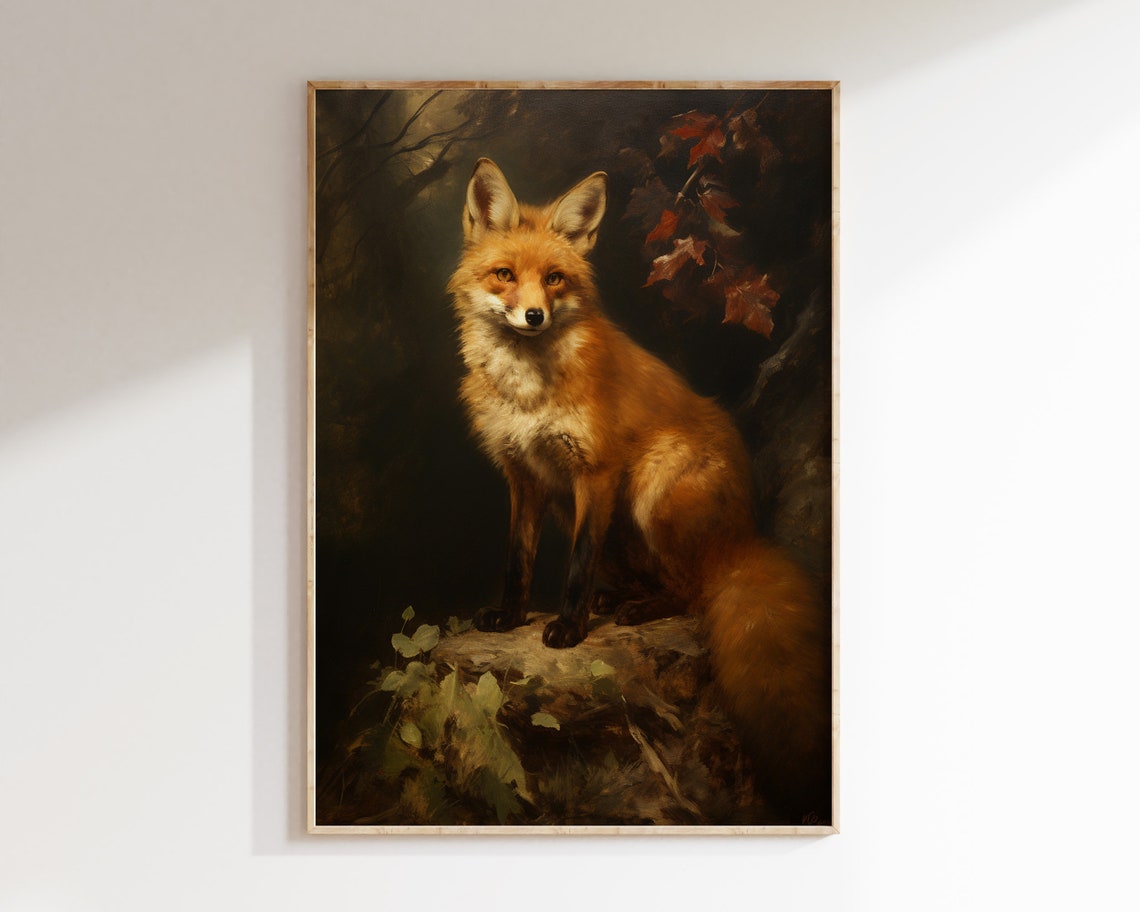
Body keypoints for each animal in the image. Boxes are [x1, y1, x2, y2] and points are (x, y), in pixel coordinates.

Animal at [447, 158, 832, 822]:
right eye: (504, 276)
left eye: (554, 280)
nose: (533, 317)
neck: (528, 391)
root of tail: (744, 536)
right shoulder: (524, 475)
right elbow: (518, 559)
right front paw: (511, 616)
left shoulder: (594, 471)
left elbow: (577, 565)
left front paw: (568, 628)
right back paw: (622, 599)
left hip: (652, 490)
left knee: (696, 593)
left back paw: (638, 608)